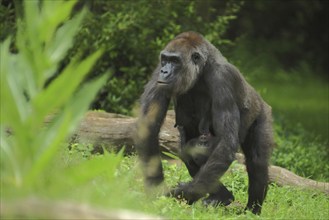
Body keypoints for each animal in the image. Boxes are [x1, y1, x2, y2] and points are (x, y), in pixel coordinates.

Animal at [133, 31, 272, 215]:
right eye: (165, 60)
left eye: (175, 61)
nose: (165, 71)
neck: (201, 69)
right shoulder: (158, 74)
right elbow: (148, 127)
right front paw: (156, 190)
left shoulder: (223, 77)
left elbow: (226, 142)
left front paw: (182, 193)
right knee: (188, 152)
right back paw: (222, 196)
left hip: (262, 113)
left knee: (256, 161)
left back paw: (251, 210)